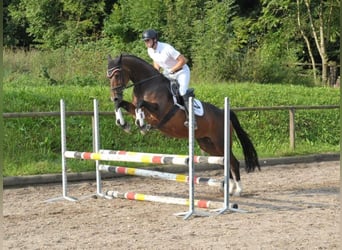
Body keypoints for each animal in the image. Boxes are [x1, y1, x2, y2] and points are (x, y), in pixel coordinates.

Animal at [107, 53, 260, 196]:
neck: (146, 85)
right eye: (108, 76)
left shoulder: (159, 111)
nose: (114, 96)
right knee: (224, 162)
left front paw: (141, 125)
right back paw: (229, 189)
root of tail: (224, 113)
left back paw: (238, 190)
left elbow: (140, 104)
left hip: (221, 142)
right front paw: (123, 124)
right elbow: (122, 105)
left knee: (233, 162)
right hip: (208, 144)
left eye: (117, 74)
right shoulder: (133, 108)